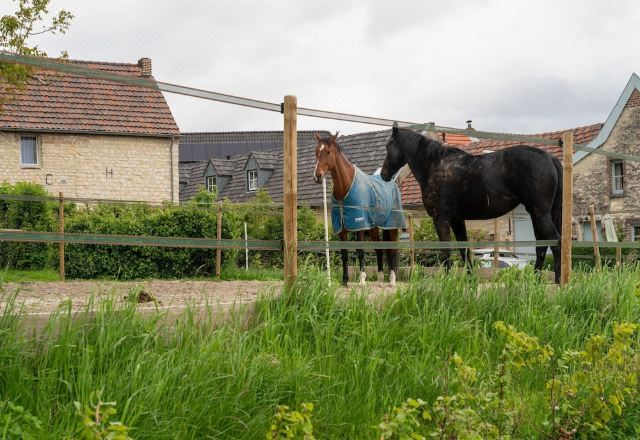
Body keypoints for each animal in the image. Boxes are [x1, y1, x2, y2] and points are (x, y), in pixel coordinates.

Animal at [312, 132, 402, 288]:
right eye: (317, 151)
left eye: (328, 151)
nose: (317, 176)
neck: (345, 187)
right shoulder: (342, 228)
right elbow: (344, 253)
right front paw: (344, 281)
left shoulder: (359, 226)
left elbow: (360, 251)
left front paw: (362, 280)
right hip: (373, 228)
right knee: (379, 249)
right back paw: (380, 278)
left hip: (392, 226)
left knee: (392, 250)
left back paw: (392, 280)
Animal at [380, 125, 560, 284]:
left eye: (389, 146)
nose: (384, 175)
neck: (434, 165)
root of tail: (550, 158)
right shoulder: (457, 220)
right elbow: (464, 249)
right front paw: (470, 279)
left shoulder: (441, 219)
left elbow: (446, 250)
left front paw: (447, 280)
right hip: (536, 214)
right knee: (541, 245)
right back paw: (536, 281)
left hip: (539, 213)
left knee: (555, 241)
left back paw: (559, 282)